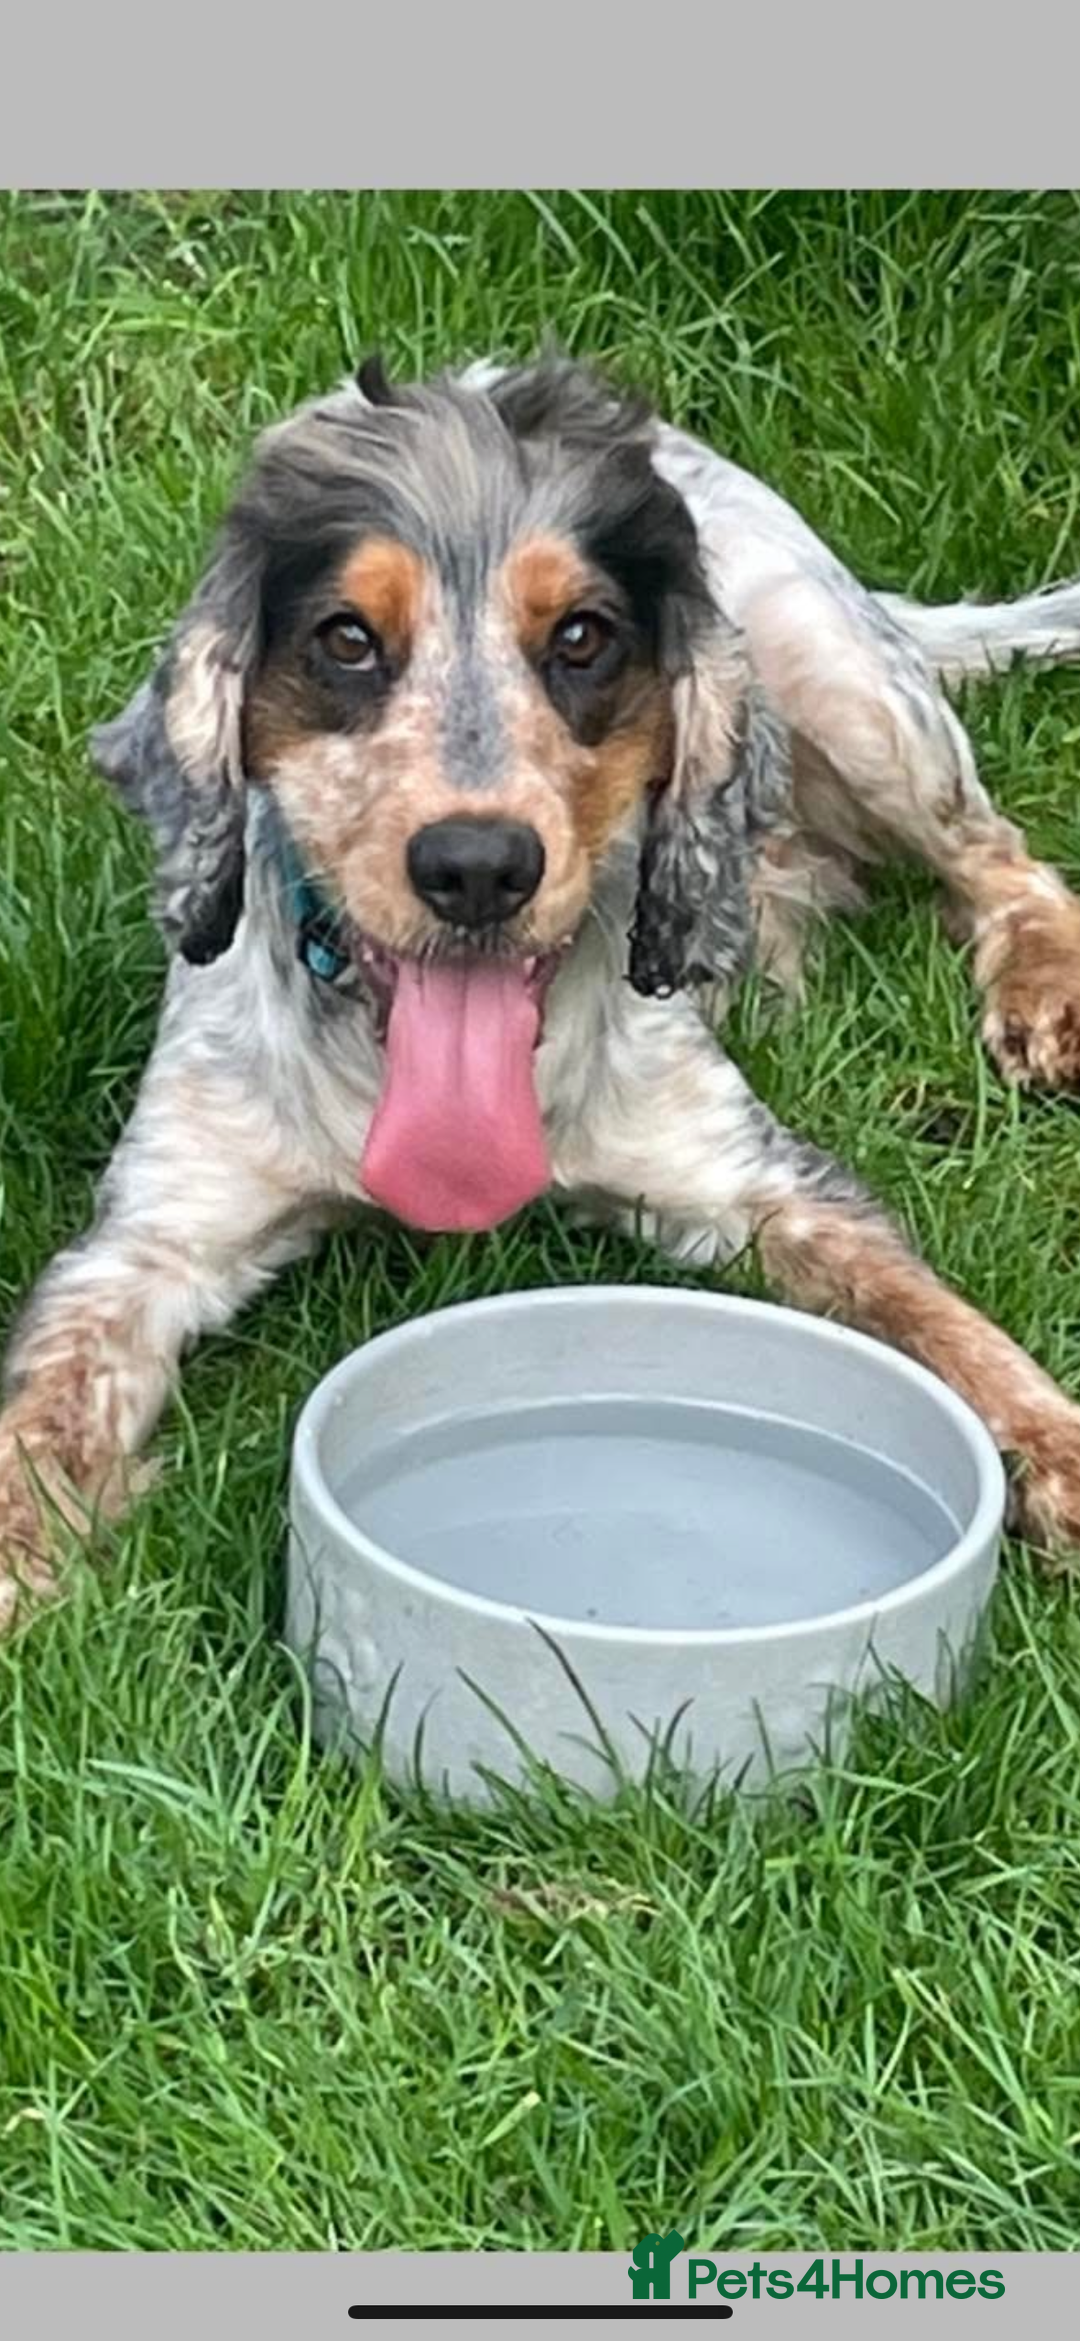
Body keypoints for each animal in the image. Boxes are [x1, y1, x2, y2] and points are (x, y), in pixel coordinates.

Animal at [4, 350, 1080, 1627]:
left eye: (581, 636)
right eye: (346, 639)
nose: (477, 864)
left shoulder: (761, 1183)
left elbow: (935, 1316)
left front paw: (1058, 1446)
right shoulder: (146, 1239)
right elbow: (41, 1417)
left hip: (843, 675)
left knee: (995, 851)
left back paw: (1040, 989)